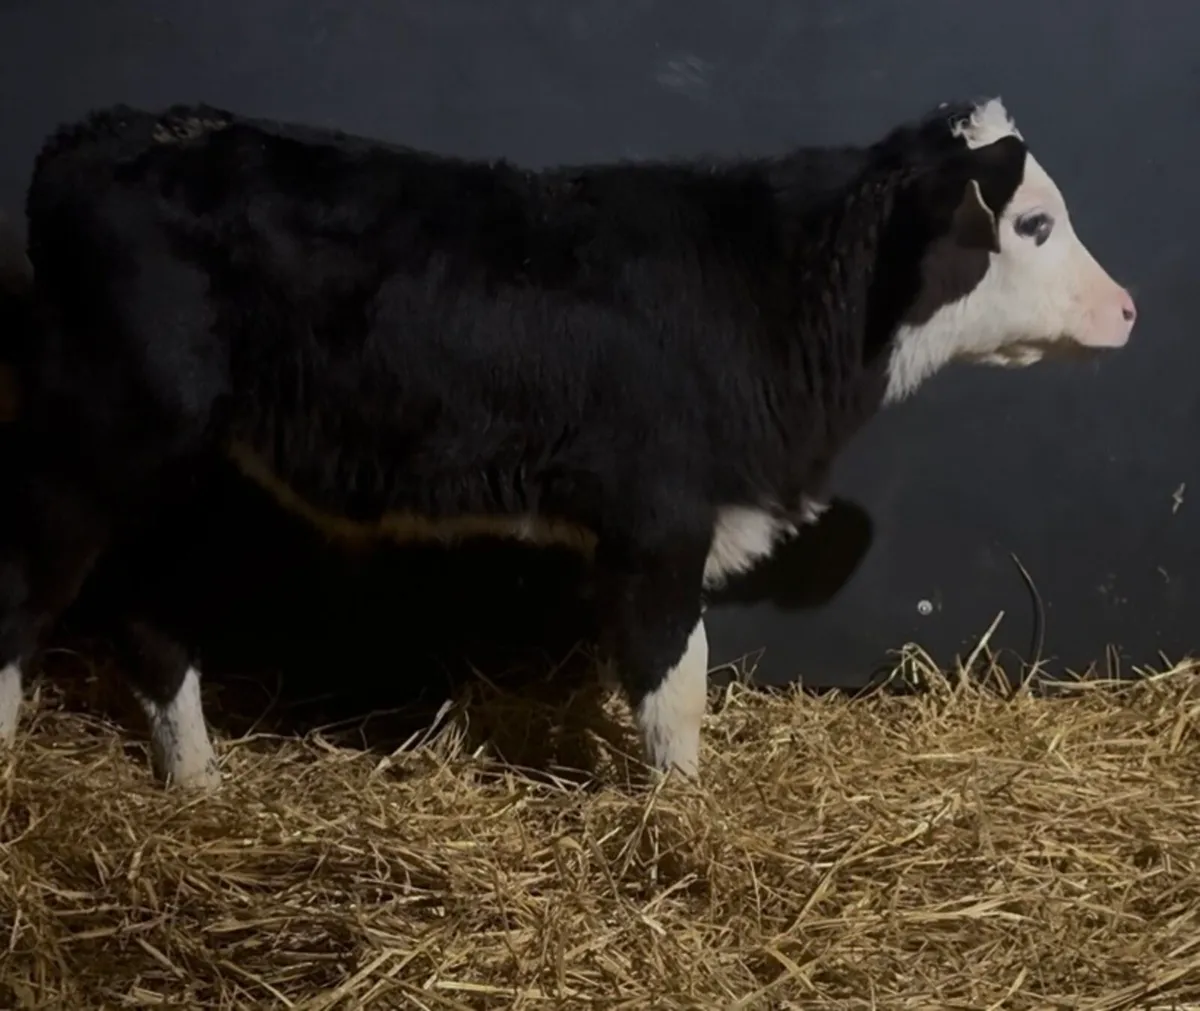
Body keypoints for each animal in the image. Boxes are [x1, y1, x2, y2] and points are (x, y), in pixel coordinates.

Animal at [0, 95, 1135, 791]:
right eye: (1033, 223)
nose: (1126, 310)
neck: (768, 297)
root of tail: (106, 135)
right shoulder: (659, 522)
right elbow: (675, 686)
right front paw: (684, 823)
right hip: (88, 442)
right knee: (23, 596)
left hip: (181, 471)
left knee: (151, 612)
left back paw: (196, 780)